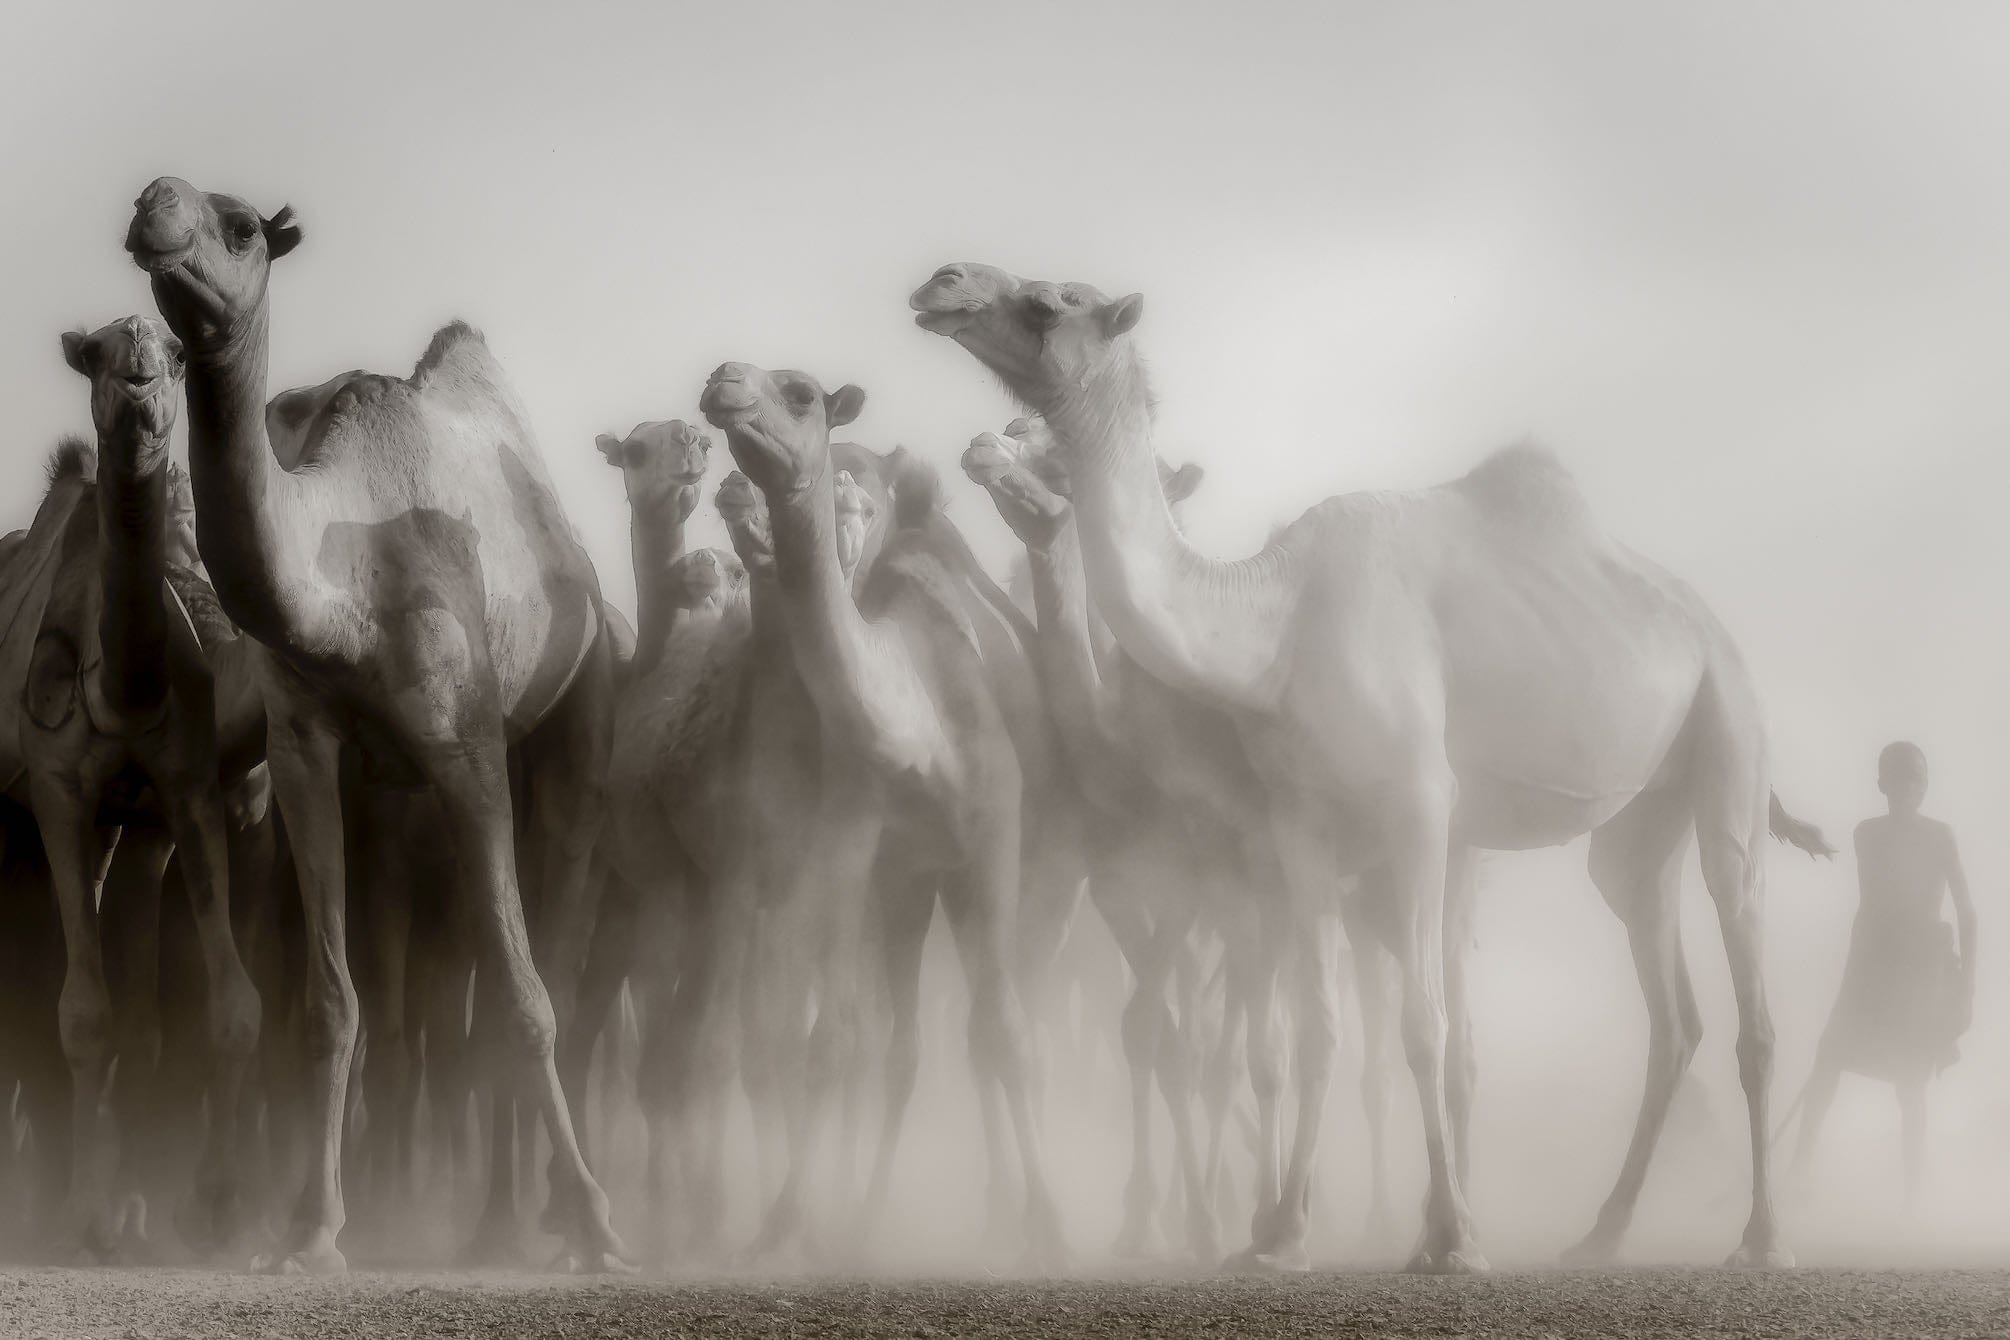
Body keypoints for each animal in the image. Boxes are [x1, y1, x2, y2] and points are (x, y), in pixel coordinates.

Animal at [0, 316, 262, 1261]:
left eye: (175, 353)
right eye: (99, 352)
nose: (143, 379)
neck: (121, 685)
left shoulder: (182, 787)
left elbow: (231, 1007)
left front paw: (211, 1211)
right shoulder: (57, 793)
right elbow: (84, 1017)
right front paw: (85, 1219)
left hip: (125, 833)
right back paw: (48, 1208)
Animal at [126, 177, 623, 1274]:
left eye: (240, 226)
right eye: (160, 200)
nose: (153, 205)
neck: (348, 588)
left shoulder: (466, 748)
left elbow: (524, 1000)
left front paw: (601, 1223)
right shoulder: (305, 750)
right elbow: (329, 1004)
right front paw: (312, 1231)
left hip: (575, 722)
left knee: (548, 962)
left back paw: (539, 1217)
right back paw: (482, 1221)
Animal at [700, 364, 1065, 1264]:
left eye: (800, 392)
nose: (725, 381)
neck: (920, 724)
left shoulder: (996, 833)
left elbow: (1006, 1036)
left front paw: (1051, 1224)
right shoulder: (854, 839)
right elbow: (832, 1043)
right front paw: (787, 1222)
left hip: (1028, 873)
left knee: (1013, 1023)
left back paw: (1009, 1207)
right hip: (909, 893)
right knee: (907, 1050)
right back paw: (869, 1222)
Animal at [913, 262, 1831, 1272]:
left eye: (1048, 301)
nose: (943, 282)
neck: (1275, 627)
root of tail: (1708, 624)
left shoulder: (1419, 806)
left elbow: (1422, 1026)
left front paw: (1451, 1238)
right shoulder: (1298, 828)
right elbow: (1315, 1031)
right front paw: (1280, 1236)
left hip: (1729, 731)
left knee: (1747, 985)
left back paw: (1763, 1238)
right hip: (1638, 827)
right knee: (1670, 1009)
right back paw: (1601, 1232)